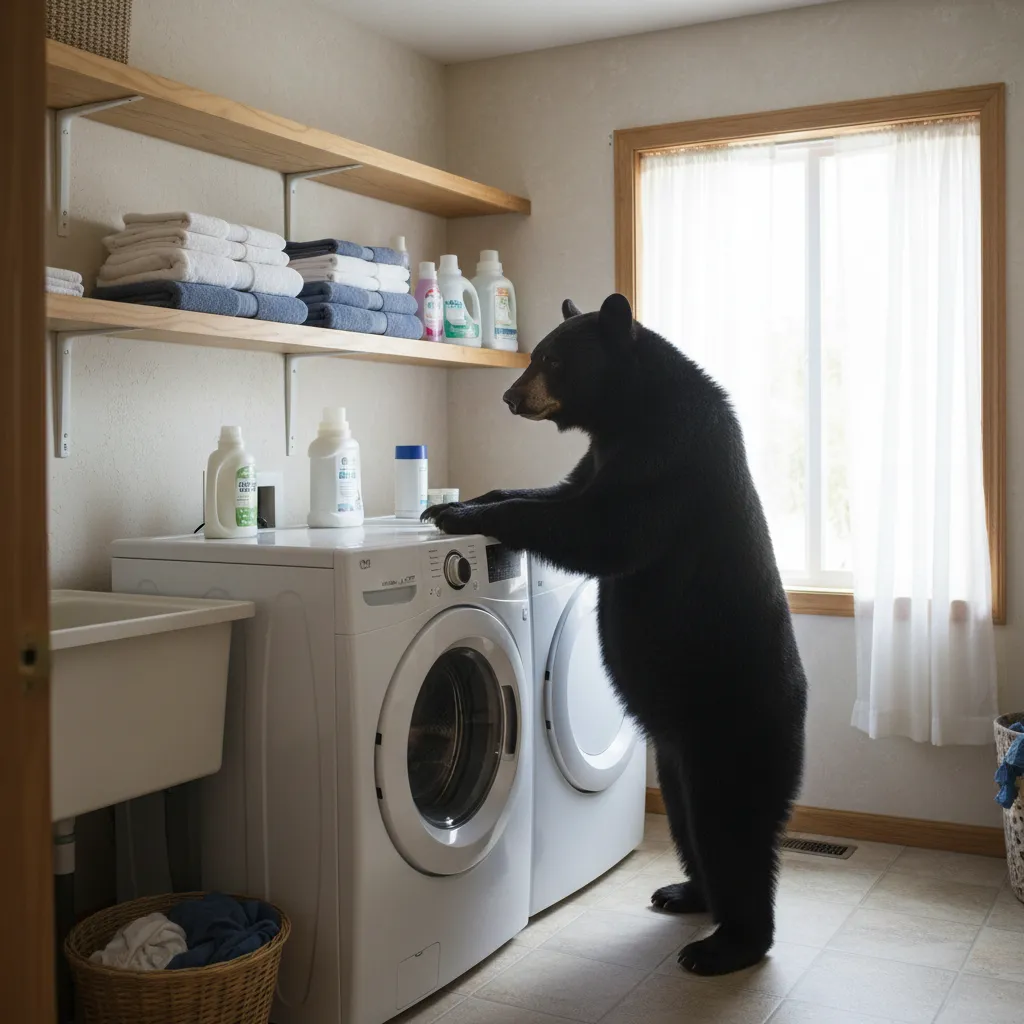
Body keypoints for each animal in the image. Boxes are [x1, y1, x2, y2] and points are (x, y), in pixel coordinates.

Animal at [422, 293, 808, 977]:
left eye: (551, 359)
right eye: (534, 354)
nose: (509, 395)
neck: (628, 412)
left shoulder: (670, 457)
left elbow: (602, 528)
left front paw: (457, 511)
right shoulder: (596, 459)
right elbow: (554, 492)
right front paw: (461, 498)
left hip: (734, 728)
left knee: (732, 828)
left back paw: (725, 946)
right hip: (676, 755)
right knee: (689, 820)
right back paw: (685, 893)